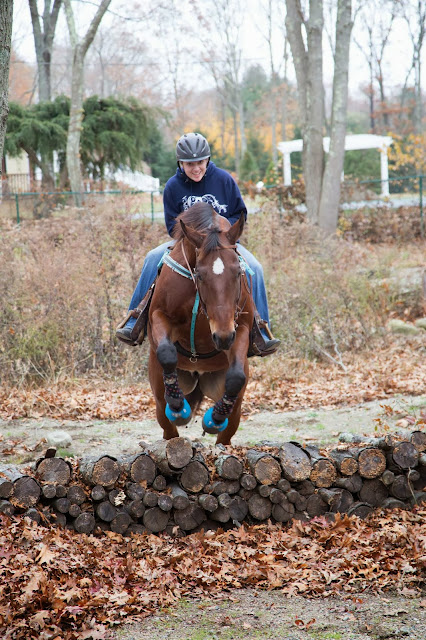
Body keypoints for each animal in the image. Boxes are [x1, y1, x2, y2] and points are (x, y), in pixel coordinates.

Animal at [147, 201, 254, 446]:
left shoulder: (240, 328)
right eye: (201, 275)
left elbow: (236, 376)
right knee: (168, 429)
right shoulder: (158, 316)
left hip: (233, 409)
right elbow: (166, 352)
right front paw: (178, 406)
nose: (223, 337)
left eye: (237, 272)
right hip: (159, 398)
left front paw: (215, 418)